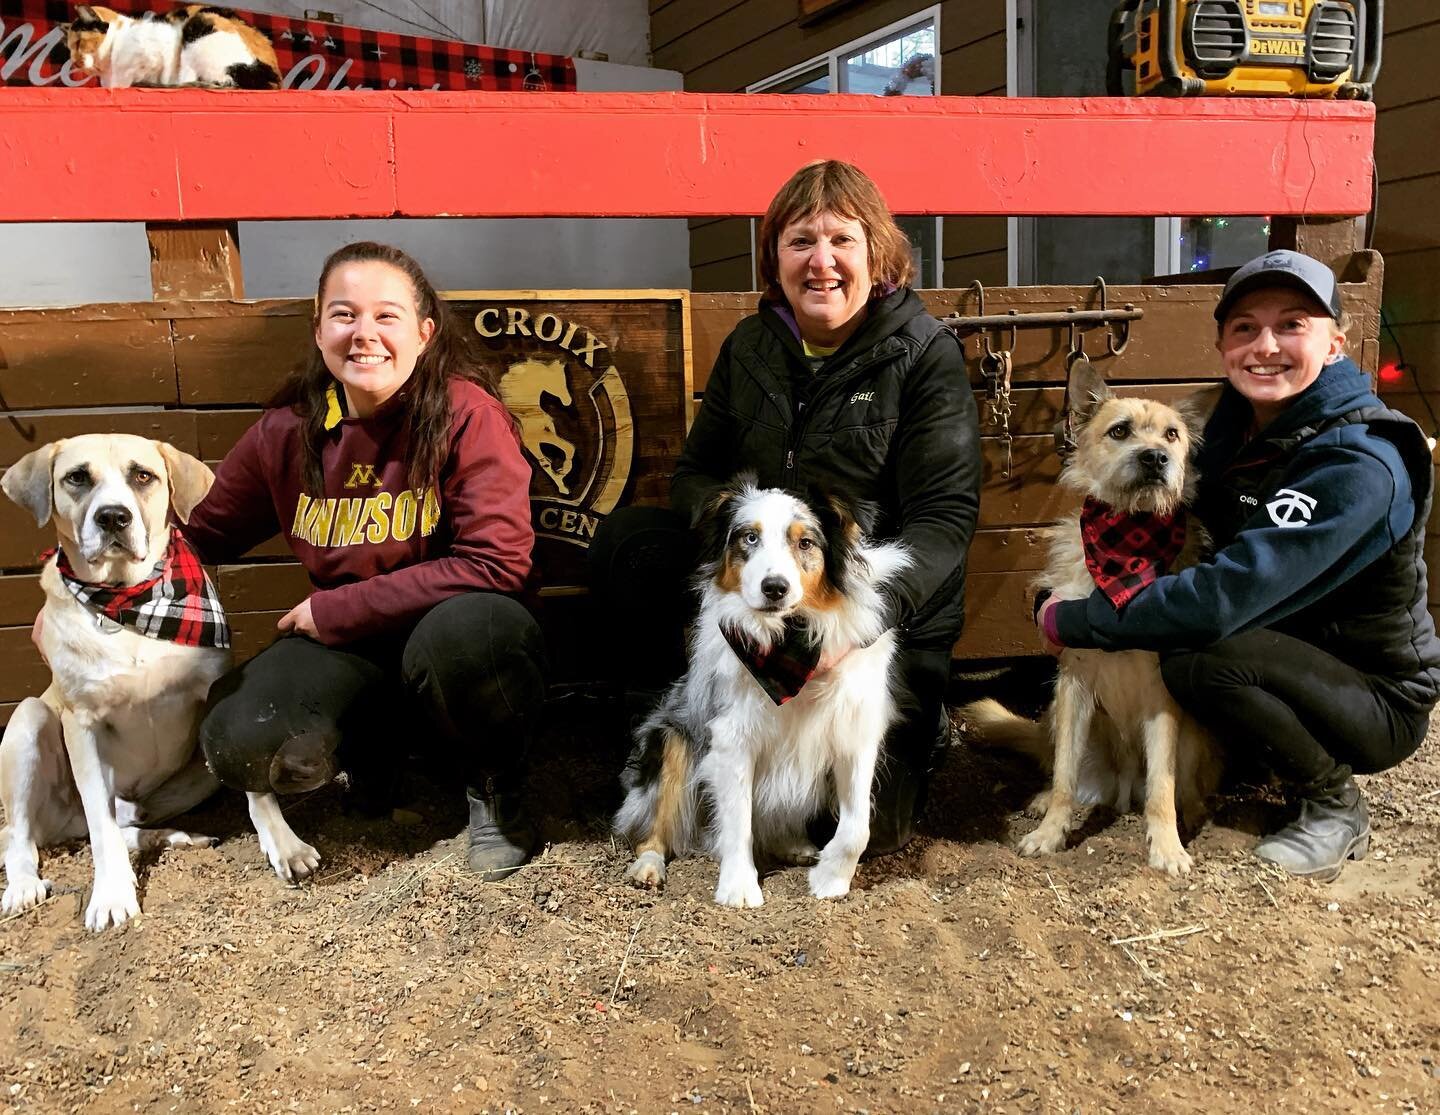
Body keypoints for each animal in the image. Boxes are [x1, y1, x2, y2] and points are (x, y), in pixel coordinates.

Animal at [0, 437, 227, 933]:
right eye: (77, 477)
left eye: (143, 475)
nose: (112, 517)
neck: (128, 602)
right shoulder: (81, 725)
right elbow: (101, 831)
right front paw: (111, 898)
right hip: (29, 719)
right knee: (24, 835)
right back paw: (23, 886)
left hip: (188, 783)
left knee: (119, 823)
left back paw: (172, 836)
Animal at [610, 478, 904, 910]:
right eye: (750, 537)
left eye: (805, 543)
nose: (774, 588)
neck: (789, 646)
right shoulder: (732, 738)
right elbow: (737, 821)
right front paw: (739, 887)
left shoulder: (854, 733)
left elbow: (857, 827)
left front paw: (831, 878)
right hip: (672, 740)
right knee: (654, 825)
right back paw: (648, 866)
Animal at [961, 363, 1221, 875]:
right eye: (1119, 431)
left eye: (1173, 435)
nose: (1156, 458)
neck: (1126, 546)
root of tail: (1120, 789)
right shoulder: (1074, 687)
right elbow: (1064, 776)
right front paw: (1050, 832)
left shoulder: (1162, 701)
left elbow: (1162, 787)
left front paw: (1167, 847)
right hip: (1062, 714)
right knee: (1062, 769)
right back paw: (1046, 800)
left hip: (1192, 737)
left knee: (1179, 786)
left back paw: (1192, 812)